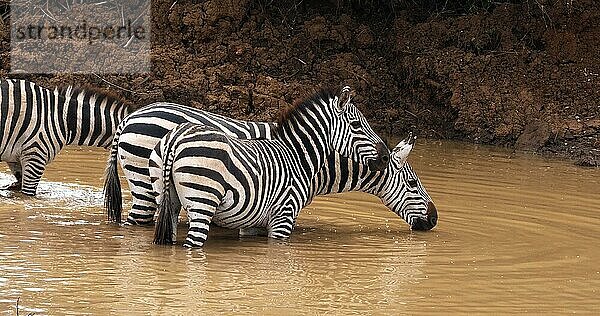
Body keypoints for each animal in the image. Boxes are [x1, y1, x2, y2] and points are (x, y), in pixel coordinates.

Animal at [149, 87, 390, 247]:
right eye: (356, 125)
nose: (386, 157)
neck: (298, 158)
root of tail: (176, 138)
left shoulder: (253, 220)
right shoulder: (284, 216)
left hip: (166, 199)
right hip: (202, 201)